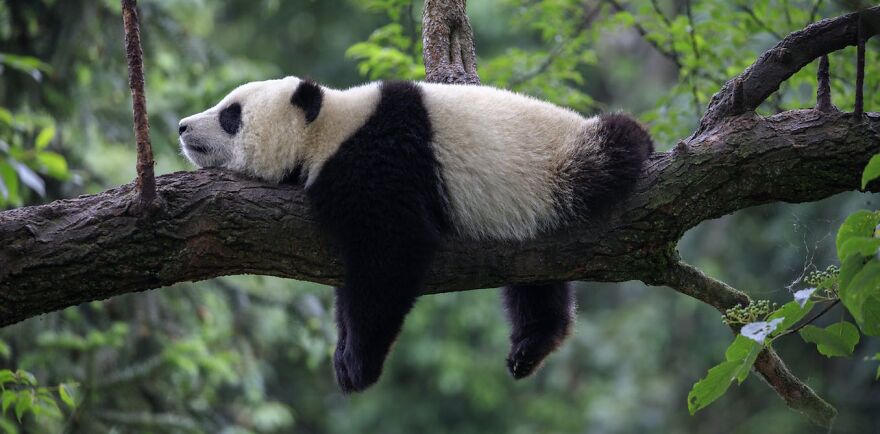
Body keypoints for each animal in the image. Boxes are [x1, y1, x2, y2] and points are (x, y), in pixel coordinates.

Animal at [179, 76, 653, 393]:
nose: (183, 126)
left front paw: (358, 364)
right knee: (535, 280)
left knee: (614, 147)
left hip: (561, 165)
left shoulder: (380, 162)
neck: (329, 128)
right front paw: (344, 351)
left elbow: (390, 256)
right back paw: (532, 344)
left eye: (231, 115)